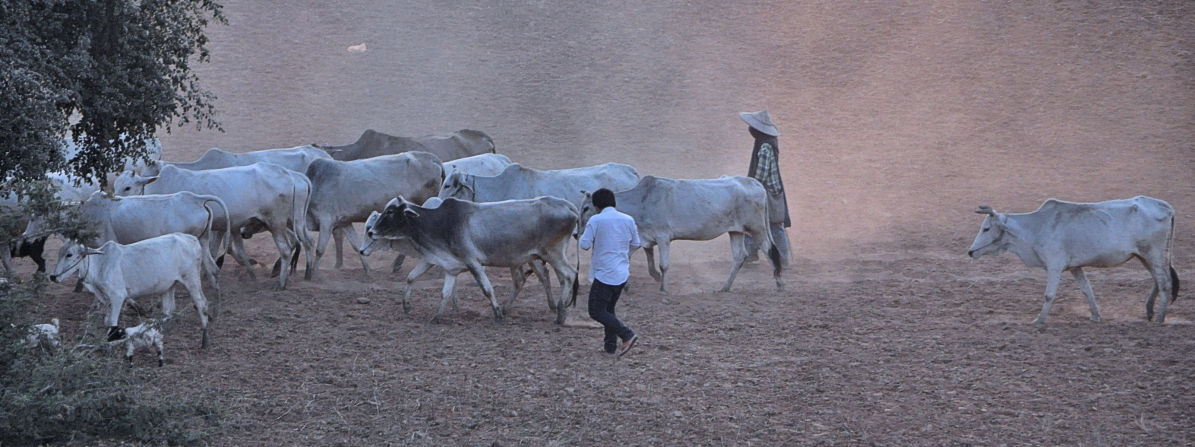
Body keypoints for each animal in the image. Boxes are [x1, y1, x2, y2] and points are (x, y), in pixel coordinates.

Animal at [47, 234, 218, 348]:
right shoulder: (107, 299)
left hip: (191, 280)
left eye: (69, 254)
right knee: (168, 312)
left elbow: (112, 323)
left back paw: (205, 340)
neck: (100, 263)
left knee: (202, 304)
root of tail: (192, 238)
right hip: (169, 286)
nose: (53, 276)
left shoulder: (117, 296)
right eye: (59, 253)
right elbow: (106, 321)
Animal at [112, 162, 315, 288]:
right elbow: (219, 251)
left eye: (128, 187)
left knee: (287, 248)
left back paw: (282, 282)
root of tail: (290, 175)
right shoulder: (220, 228)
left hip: (276, 222)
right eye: (115, 186)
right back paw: (308, 273)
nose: (115, 201)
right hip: (294, 220)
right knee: (307, 242)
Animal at [578, 174, 783, 292]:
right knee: (740, 256)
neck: (641, 200)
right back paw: (724, 287)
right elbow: (634, 260)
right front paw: (629, 284)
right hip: (735, 231)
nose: (578, 231)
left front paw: (663, 288)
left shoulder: (663, 237)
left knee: (770, 250)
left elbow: (663, 265)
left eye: (586, 207)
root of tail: (756, 183)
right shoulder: (645, 239)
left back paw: (779, 283)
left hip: (757, 228)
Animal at [970, 197, 1175, 322]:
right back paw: (1149, 311)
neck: (1035, 228)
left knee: (1165, 283)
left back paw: (1159, 318)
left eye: (986, 228)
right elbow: (1087, 290)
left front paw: (1039, 320)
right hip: (1144, 256)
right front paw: (1095, 316)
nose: (970, 252)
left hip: (1153, 253)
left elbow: (1049, 294)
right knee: (1158, 280)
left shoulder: (1054, 266)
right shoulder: (1075, 267)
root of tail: (1167, 207)